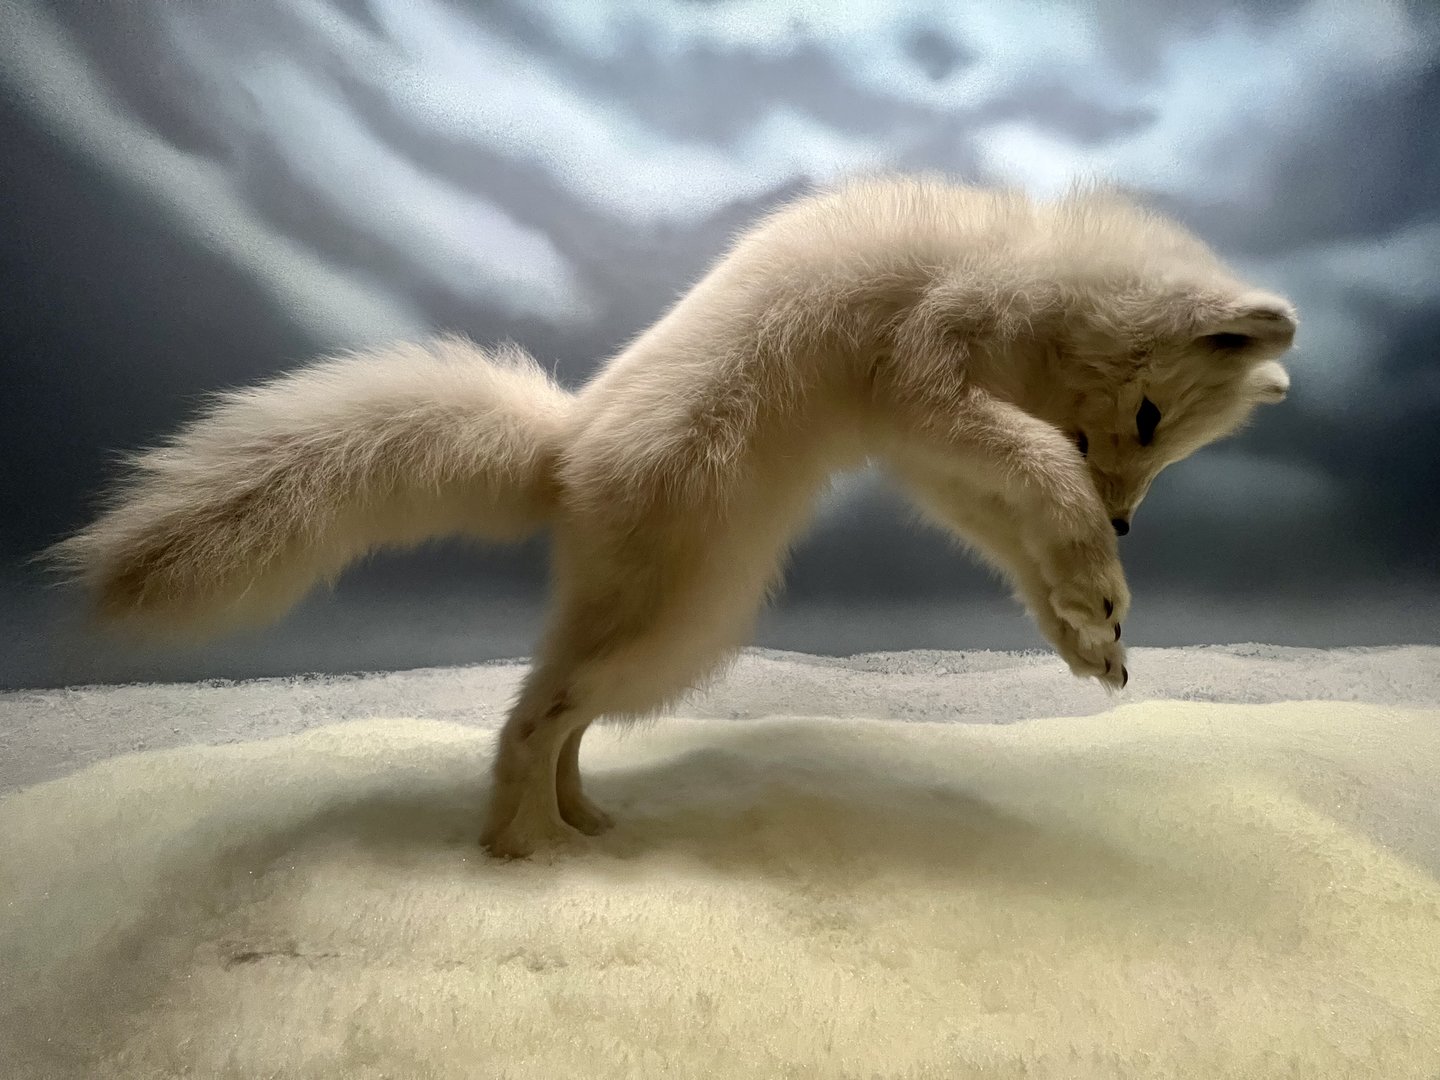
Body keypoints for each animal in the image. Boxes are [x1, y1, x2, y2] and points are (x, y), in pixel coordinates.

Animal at [49, 174, 1297, 858]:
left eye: (1167, 452)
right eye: (1145, 417)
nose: (1130, 524)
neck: (1020, 268)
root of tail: (569, 445)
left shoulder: (935, 461)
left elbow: (1018, 537)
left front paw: (1091, 630)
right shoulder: (926, 383)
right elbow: (1039, 468)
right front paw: (1096, 584)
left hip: (660, 624)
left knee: (554, 710)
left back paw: (583, 825)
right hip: (685, 624)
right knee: (531, 717)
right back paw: (523, 854)